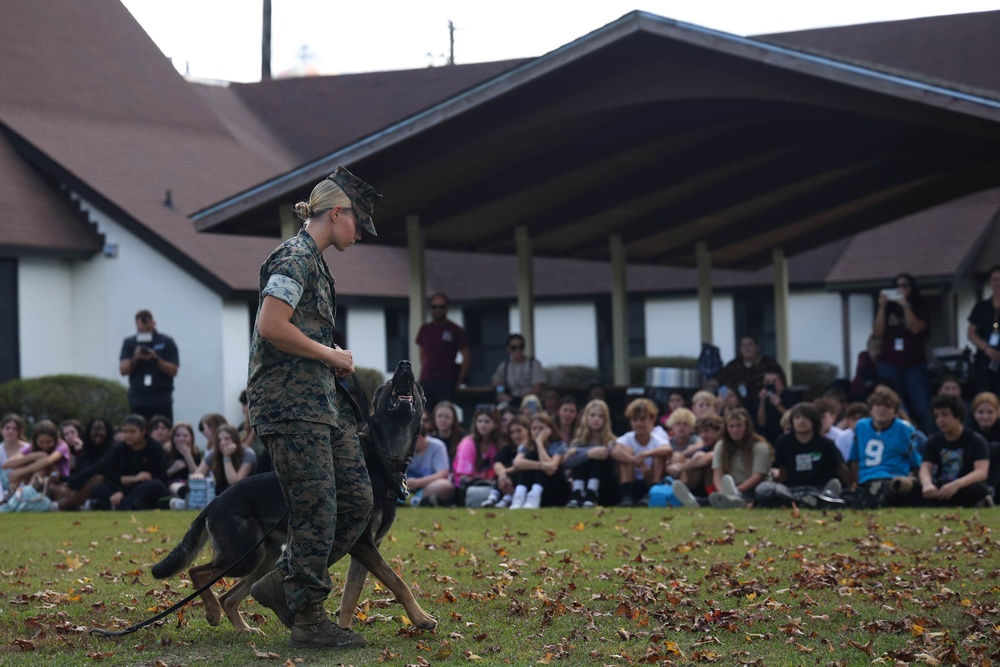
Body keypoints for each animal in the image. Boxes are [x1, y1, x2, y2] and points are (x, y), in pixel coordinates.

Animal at [150, 362, 436, 636]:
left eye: (415, 384)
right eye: (387, 385)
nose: (404, 364)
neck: (382, 459)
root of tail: (214, 501)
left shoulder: (366, 549)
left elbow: (350, 597)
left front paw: (344, 629)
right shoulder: (363, 544)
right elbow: (397, 582)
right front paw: (420, 618)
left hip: (263, 556)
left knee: (229, 596)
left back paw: (244, 629)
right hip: (244, 556)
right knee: (197, 572)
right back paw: (212, 613)